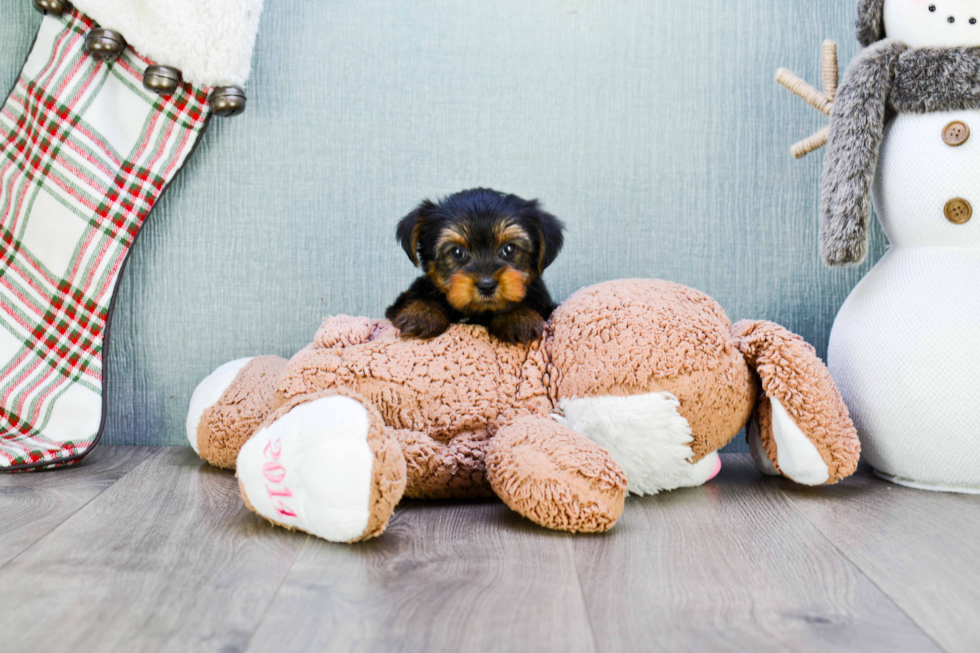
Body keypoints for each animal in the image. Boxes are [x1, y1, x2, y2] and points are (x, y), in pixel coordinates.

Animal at [384, 186, 564, 344]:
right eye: (457, 252)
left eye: (509, 249)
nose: (487, 286)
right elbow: (419, 296)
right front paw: (422, 313)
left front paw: (517, 317)